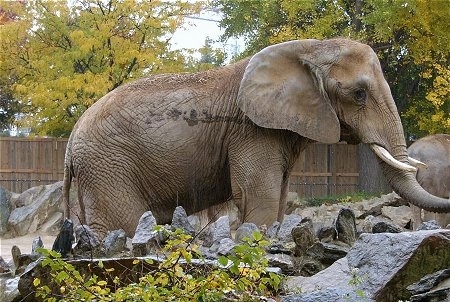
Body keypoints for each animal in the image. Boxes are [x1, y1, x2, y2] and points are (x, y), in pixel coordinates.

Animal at [62, 37, 450, 237]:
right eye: (359, 94)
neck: (310, 48)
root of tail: (69, 144)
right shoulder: (251, 130)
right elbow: (260, 198)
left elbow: (278, 200)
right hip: (109, 167)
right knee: (122, 224)